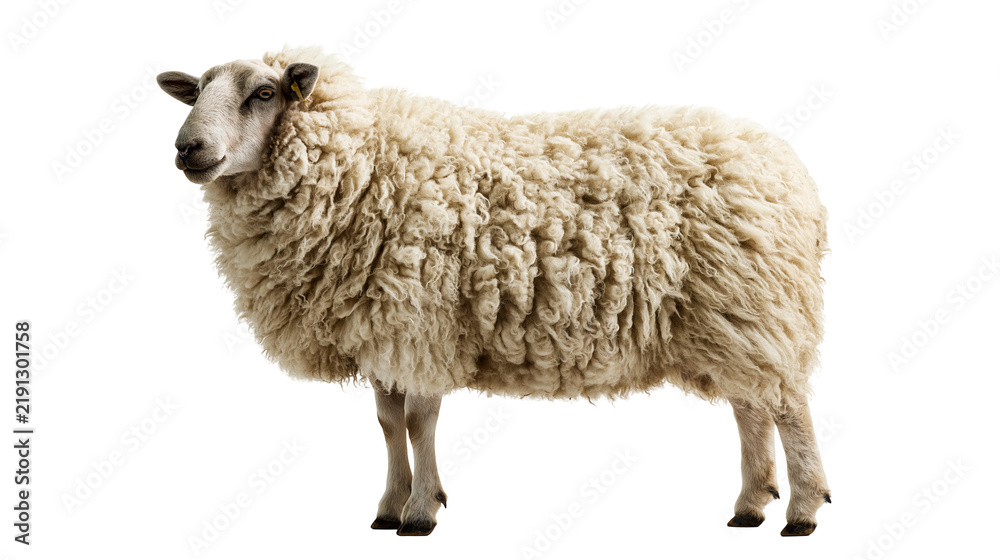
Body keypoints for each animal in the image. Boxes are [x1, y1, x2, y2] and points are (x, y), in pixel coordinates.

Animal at [158, 46, 832, 537]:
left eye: (263, 94)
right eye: (196, 92)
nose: (187, 148)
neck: (363, 166)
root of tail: (788, 168)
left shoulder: (418, 321)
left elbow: (420, 420)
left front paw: (421, 512)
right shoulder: (380, 327)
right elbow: (387, 422)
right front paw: (388, 506)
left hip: (754, 303)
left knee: (788, 407)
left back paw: (801, 512)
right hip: (730, 320)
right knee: (751, 406)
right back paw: (750, 505)